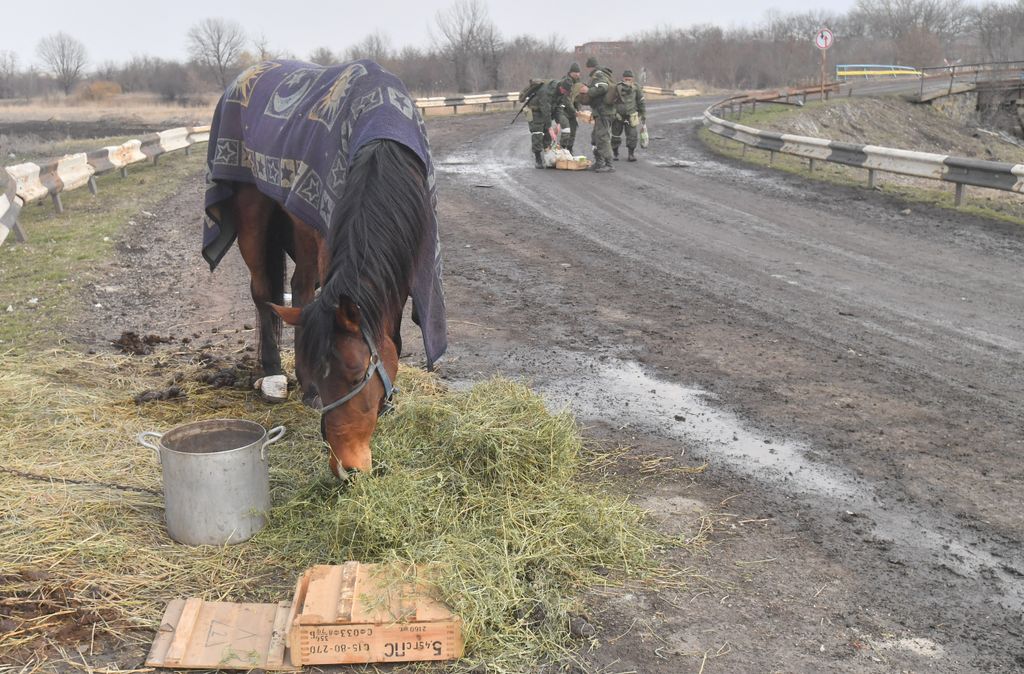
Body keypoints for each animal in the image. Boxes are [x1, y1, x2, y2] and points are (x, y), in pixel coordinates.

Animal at [201, 60, 446, 475]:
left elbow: (392, 334)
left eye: (356, 375)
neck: (382, 141)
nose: (346, 467)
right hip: (256, 215)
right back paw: (272, 374)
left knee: (299, 288)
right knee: (264, 292)